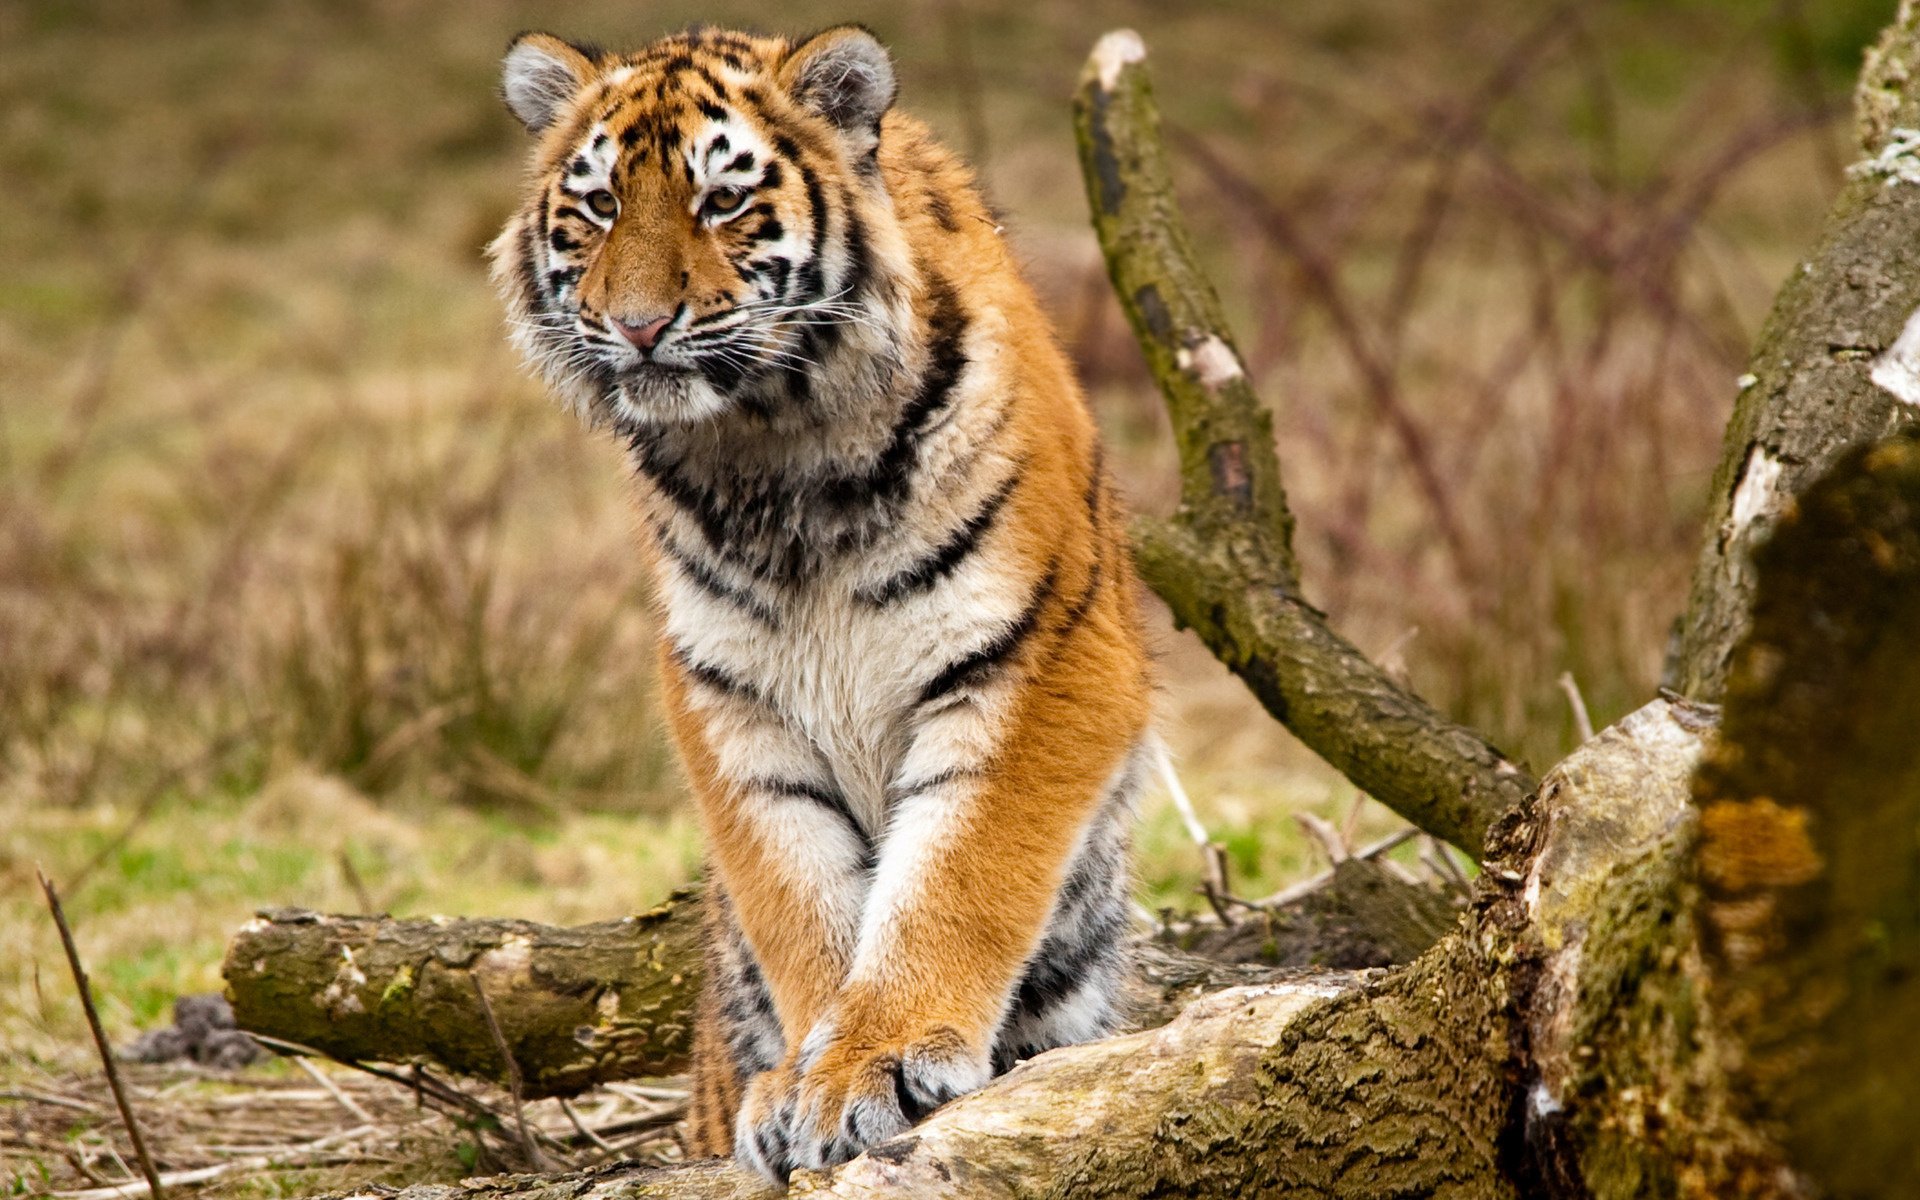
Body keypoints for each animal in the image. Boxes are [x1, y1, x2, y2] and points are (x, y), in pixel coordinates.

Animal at [489, 23, 1153, 1182]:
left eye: (720, 202)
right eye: (602, 205)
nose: (638, 326)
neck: (773, 452)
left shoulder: (1039, 655)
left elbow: (955, 875)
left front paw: (873, 1064)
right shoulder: (728, 696)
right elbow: (799, 898)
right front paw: (806, 1078)